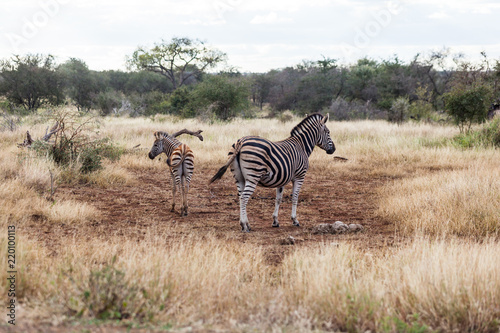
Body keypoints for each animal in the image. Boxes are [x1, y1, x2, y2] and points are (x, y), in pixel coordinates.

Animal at [208, 111, 336, 231]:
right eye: (328, 132)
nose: (333, 149)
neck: (301, 146)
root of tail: (241, 141)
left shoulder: (283, 178)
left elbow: (278, 199)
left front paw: (275, 221)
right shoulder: (300, 176)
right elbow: (295, 197)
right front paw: (295, 220)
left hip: (239, 177)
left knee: (240, 197)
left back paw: (246, 224)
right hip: (253, 175)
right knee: (244, 197)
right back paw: (244, 225)